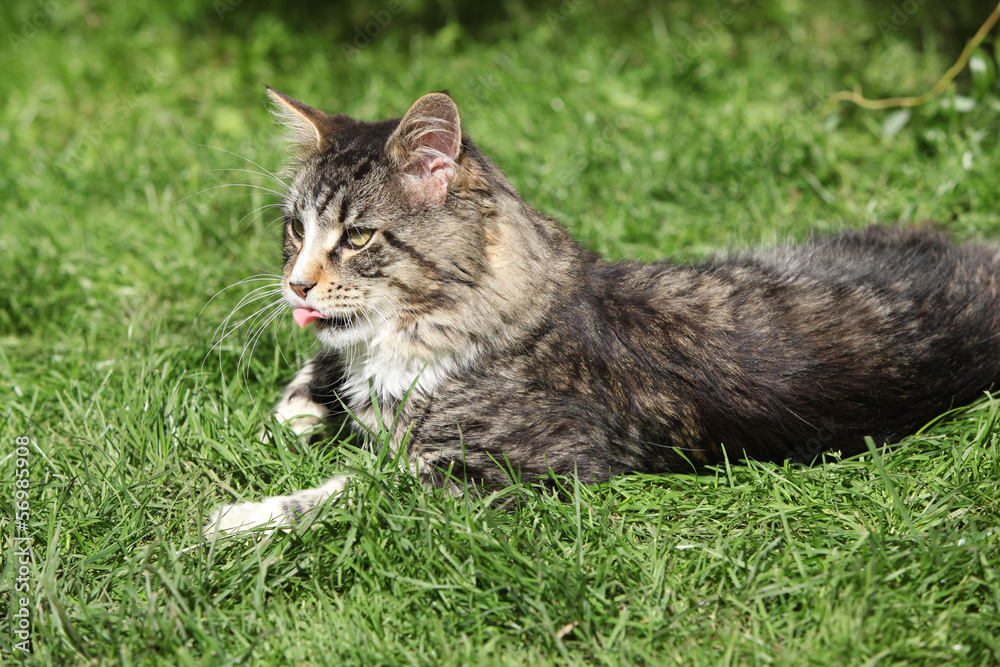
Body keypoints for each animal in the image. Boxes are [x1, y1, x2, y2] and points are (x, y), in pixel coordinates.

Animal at [203, 87, 1000, 536]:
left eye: (359, 237)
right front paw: (295, 409)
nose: (296, 285)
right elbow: (316, 384)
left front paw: (241, 515)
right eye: (294, 230)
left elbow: (354, 487)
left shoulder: (504, 470)